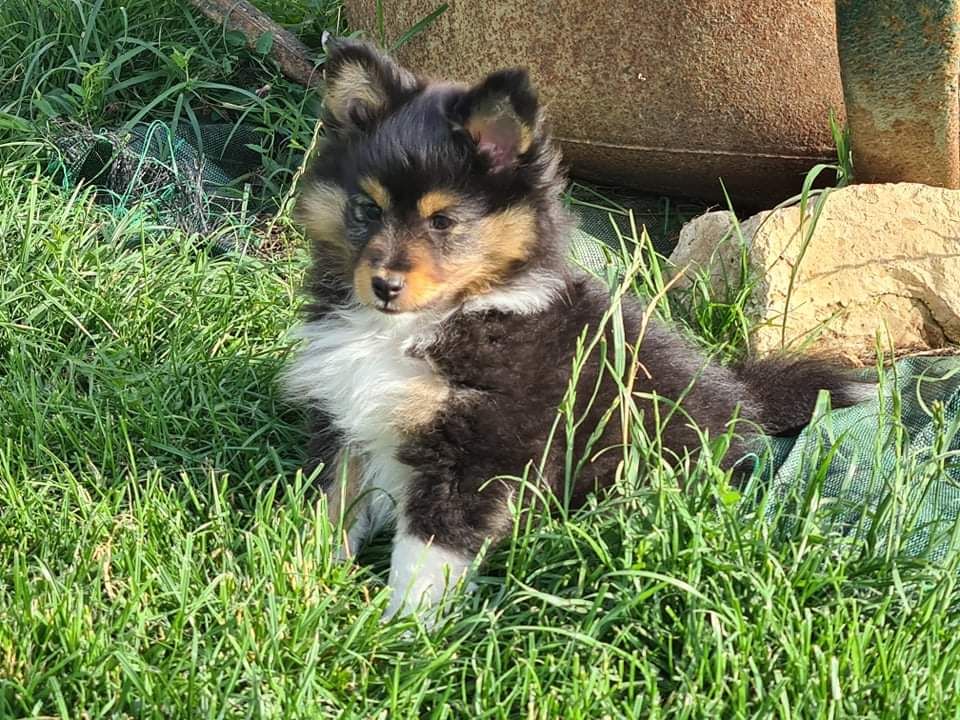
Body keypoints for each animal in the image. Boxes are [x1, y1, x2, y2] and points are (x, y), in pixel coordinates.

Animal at [284, 36, 872, 620]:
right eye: (367, 209)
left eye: (443, 222)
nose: (383, 285)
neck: (427, 324)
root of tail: (743, 397)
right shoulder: (344, 419)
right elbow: (331, 504)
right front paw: (306, 582)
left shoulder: (481, 447)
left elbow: (428, 554)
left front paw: (406, 627)